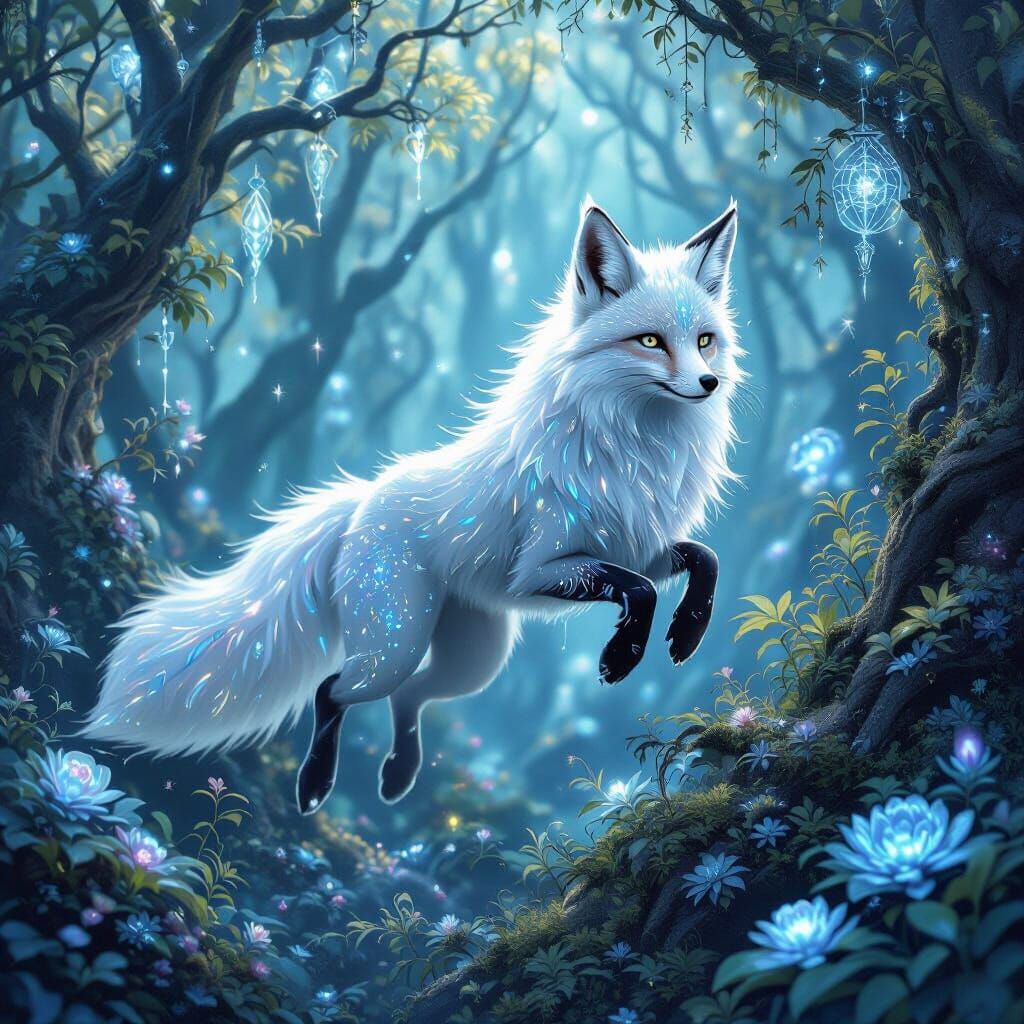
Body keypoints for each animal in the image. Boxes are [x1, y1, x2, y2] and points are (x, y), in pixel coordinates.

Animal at [84, 198, 743, 813]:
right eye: (651, 341)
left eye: (705, 341)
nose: (708, 383)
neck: (632, 454)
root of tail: (361, 500)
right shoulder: (542, 568)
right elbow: (641, 589)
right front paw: (622, 657)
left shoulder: (639, 544)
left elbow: (702, 560)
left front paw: (685, 635)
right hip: (395, 646)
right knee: (331, 689)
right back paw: (315, 784)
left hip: (474, 662)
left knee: (410, 696)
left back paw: (398, 776)